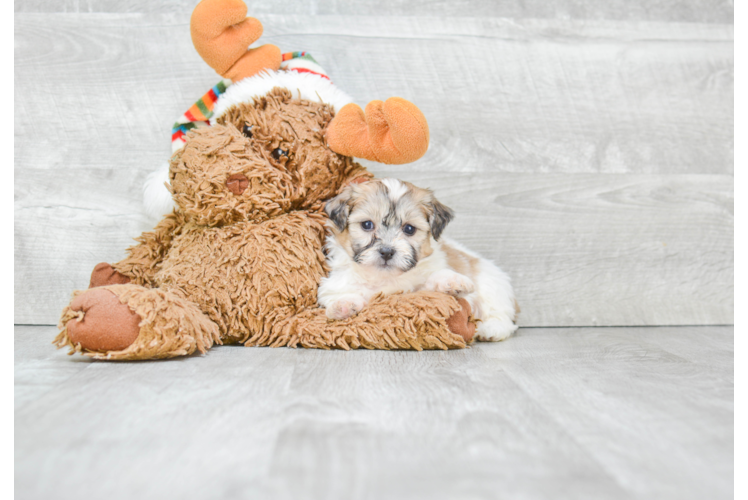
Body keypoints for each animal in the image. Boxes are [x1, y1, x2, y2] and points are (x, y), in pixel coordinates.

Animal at [318, 178, 520, 342]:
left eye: (409, 229)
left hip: (492, 287)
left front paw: (452, 281)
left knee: (500, 314)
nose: (387, 252)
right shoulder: (335, 285)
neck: (385, 278)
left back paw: (491, 329)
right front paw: (343, 305)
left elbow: (431, 284)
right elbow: (338, 296)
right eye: (367, 225)